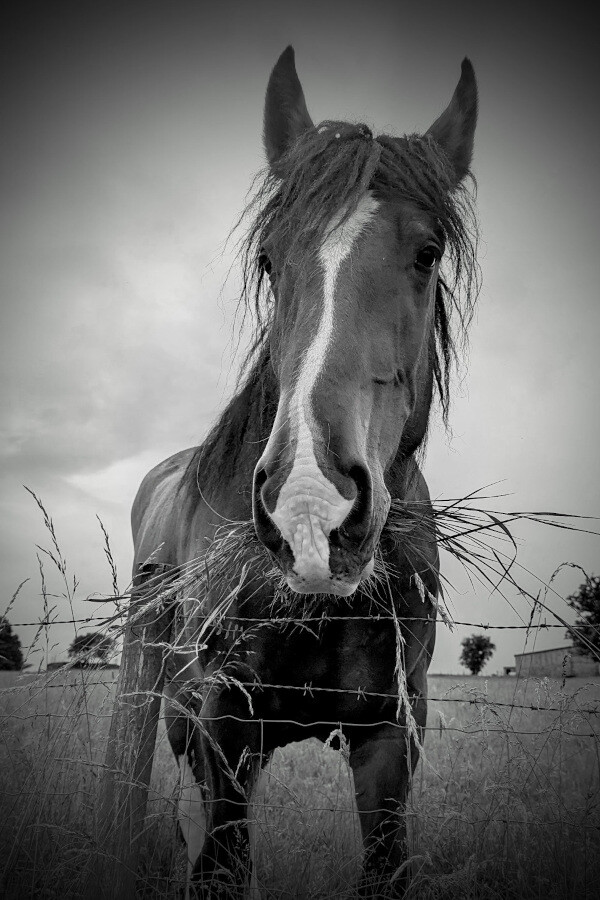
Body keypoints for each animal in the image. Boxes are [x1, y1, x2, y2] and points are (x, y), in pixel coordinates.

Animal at [131, 45, 478, 898]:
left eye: (426, 253)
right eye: (268, 259)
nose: (310, 508)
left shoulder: (392, 735)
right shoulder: (222, 724)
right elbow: (220, 864)